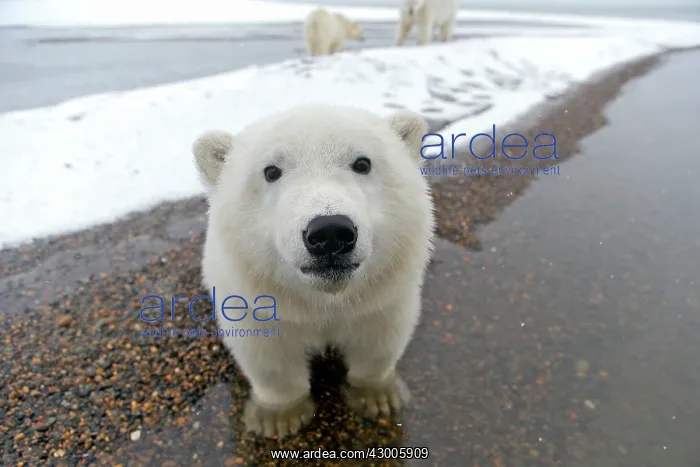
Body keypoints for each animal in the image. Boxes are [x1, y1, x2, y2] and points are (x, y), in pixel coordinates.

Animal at [192, 104, 435, 438]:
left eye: (362, 163)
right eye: (271, 171)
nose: (330, 232)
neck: (323, 301)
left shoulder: (382, 299)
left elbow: (379, 341)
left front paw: (377, 398)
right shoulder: (259, 305)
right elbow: (270, 357)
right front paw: (279, 418)